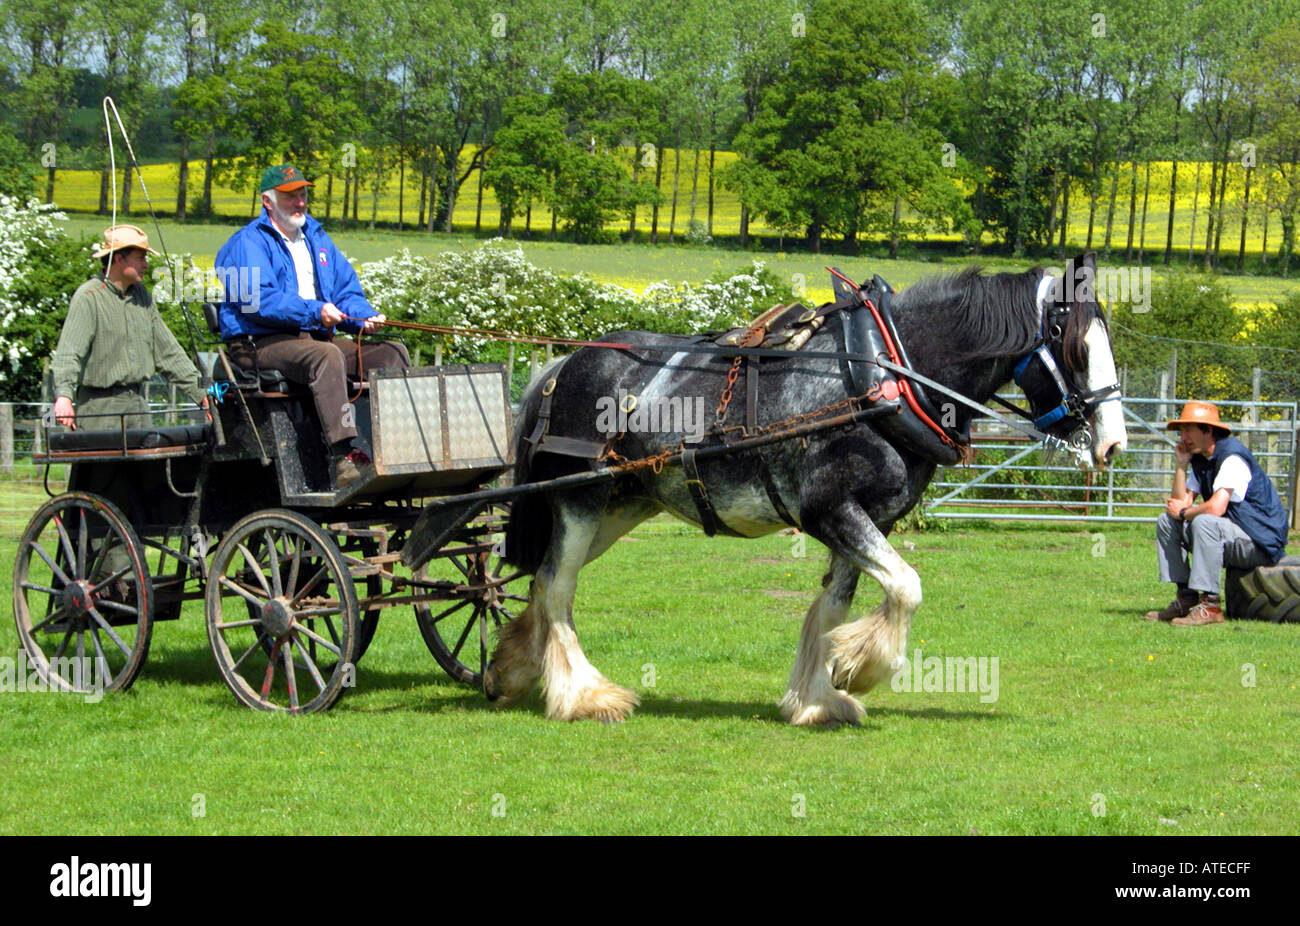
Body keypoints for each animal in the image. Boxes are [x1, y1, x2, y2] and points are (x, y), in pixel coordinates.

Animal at [491, 251, 1123, 723]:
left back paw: (511, 669)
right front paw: (856, 669)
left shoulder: (870, 517)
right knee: (557, 585)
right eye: (1072, 341)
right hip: (580, 501)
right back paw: (583, 695)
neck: (883, 374)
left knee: (543, 578)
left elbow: (834, 606)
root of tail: (566, 364)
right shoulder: (829, 510)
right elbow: (907, 587)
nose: (1113, 444)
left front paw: (820, 696)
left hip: (618, 508)